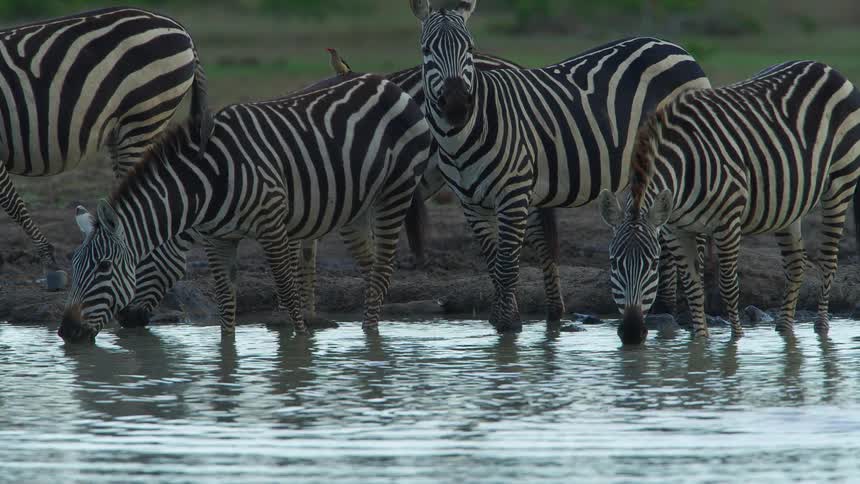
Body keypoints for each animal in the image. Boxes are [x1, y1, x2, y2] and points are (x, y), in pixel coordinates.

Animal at [60, 73, 432, 343]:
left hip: (396, 191)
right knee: (370, 269)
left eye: (105, 267)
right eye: (74, 266)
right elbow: (226, 301)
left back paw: (373, 341)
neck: (202, 188)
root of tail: (385, 82)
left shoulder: (272, 226)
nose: (66, 331)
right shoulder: (217, 239)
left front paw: (300, 346)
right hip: (355, 208)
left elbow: (287, 291)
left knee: (383, 269)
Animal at [409, 0, 710, 331]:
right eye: (426, 49)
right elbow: (493, 266)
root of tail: (675, 47)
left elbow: (506, 267)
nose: (457, 105)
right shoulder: (471, 203)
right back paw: (663, 309)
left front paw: (509, 328)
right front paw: (503, 322)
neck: (461, 137)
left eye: (470, 48)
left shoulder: (513, 193)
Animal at [598, 60, 860, 344]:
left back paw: (821, 327)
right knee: (795, 264)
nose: (632, 333)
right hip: (789, 202)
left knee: (828, 260)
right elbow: (692, 286)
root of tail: (824, 66)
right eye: (613, 262)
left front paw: (736, 339)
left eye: (654, 263)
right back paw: (784, 328)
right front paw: (700, 341)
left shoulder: (728, 221)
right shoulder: (676, 229)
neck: (684, 170)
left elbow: (727, 286)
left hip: (841, 183)